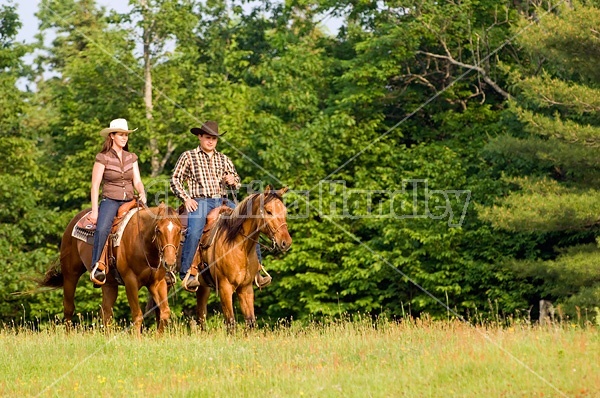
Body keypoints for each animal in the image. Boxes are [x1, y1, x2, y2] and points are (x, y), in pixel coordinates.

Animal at [40, 202, 182, 332]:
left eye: (180, 230)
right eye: (158, 230)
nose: (169, 262)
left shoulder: (157, 283)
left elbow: (164, 313)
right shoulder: (130, 282)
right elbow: (137, 315)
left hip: (109, 284)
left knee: (106, 313)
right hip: (71, 275)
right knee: (69, 308)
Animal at [193, 188, 292, 332]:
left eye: (284, 211)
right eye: (269, 211)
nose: (286, 242)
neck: (238, 245)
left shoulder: (246, 288)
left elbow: (250, 322)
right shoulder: (225, 288)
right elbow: (231, 323)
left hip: (202, 287)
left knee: (201, 315)